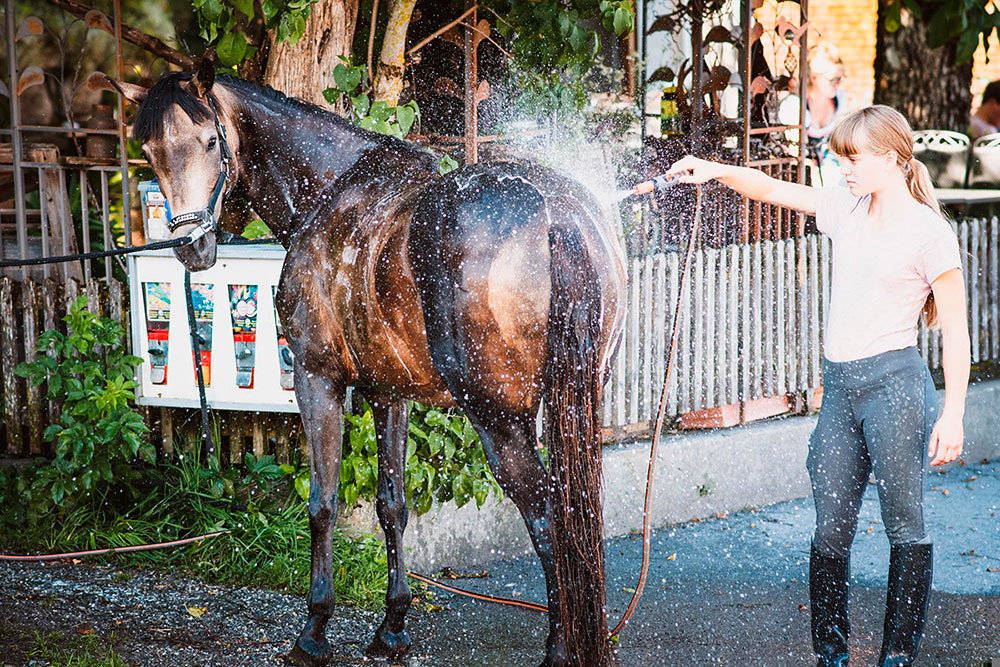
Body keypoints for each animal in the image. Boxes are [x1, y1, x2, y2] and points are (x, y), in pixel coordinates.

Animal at [109, 58, 624, 667]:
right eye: (150, 153)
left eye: (211, 141)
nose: (192, 247)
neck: (329, 193)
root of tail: (557, 213)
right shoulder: (390, 393)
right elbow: (392, 504)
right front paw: (393, 625)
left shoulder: (318, 380)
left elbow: (322, 504)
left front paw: (314, 630)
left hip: (500, 420)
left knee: (548, 514)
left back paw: (561, 647)